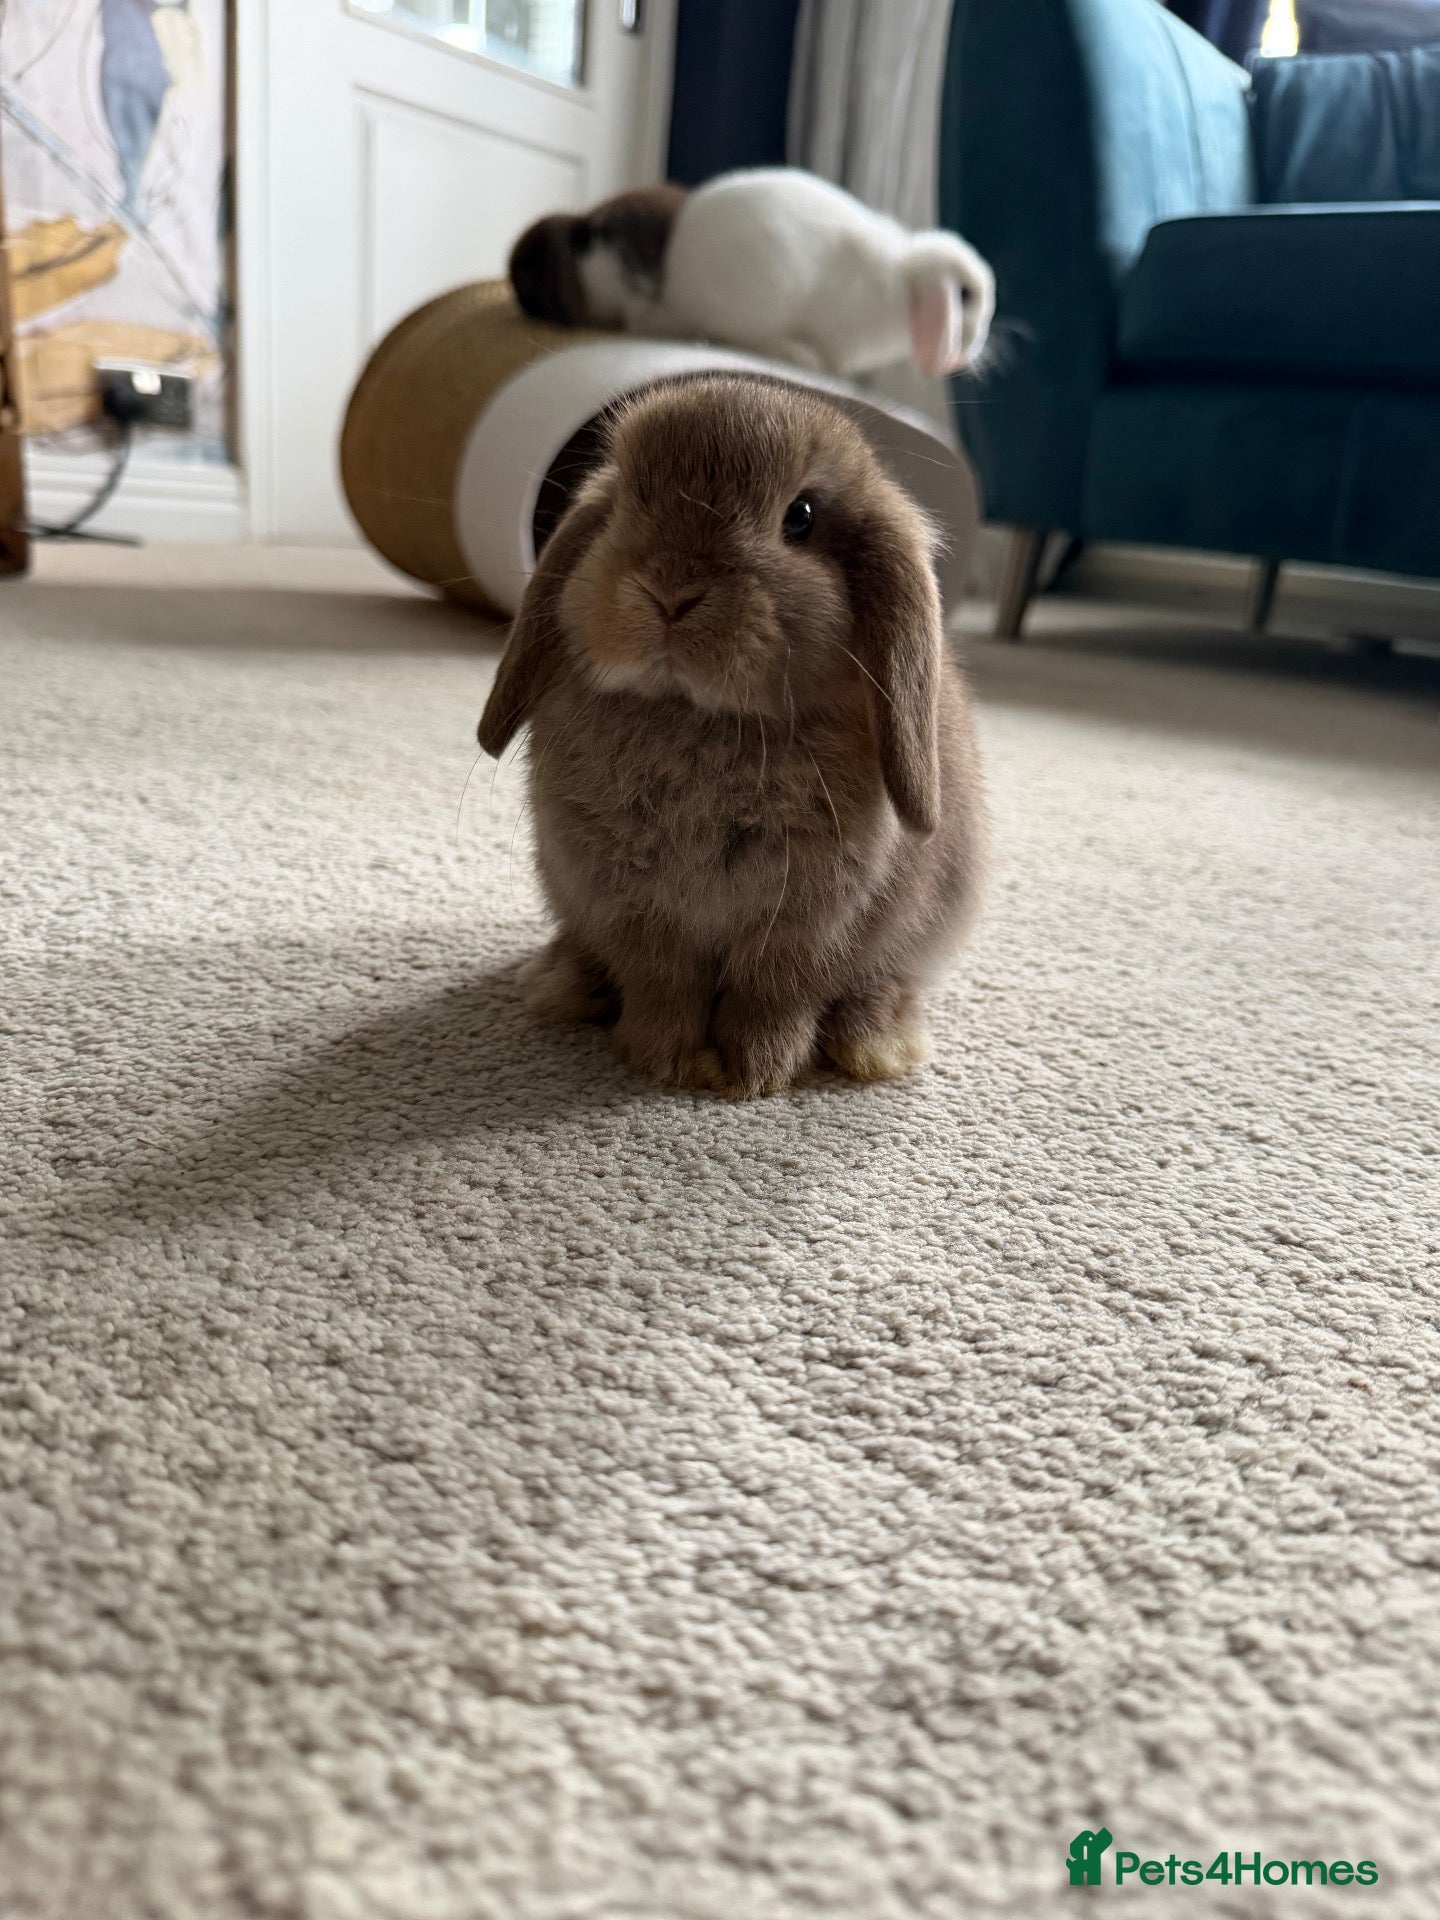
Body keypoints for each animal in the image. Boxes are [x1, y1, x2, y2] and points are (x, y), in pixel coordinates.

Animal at [477, 374, 985, 1099]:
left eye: (801, 517)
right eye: (628, 500)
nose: (669, 591)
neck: (702, 717)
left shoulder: (808, 925)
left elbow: (773, 996)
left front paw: (755, 1074)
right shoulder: (636, 912)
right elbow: (663, 985)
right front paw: (669, 1062)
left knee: (879, 984)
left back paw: (877, 1045)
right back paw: (559, 985)